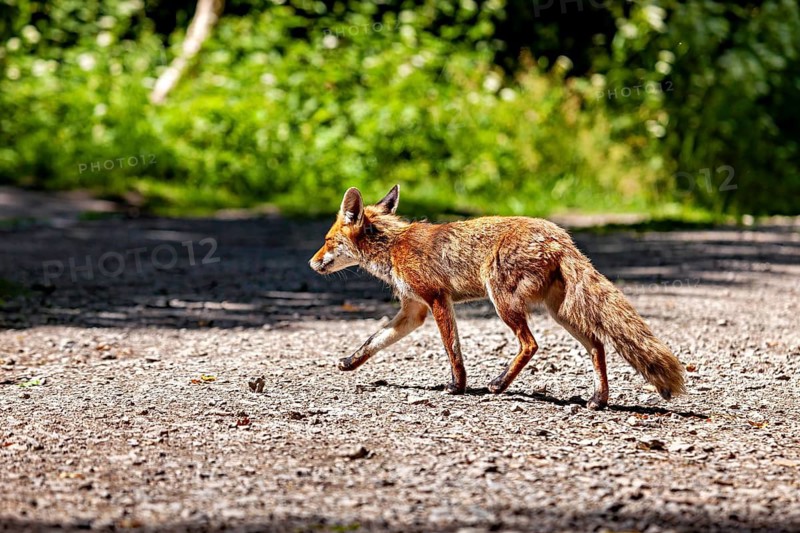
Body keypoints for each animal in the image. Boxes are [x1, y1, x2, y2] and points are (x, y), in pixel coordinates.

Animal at [308, 185, 685, 409]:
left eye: (326, 241)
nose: (311, 263)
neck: (392, 246)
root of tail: (561, 237)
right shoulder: (413, 311)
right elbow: (374, 340)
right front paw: (349, 362)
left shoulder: (437, 298)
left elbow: (453, 349)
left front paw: (457, 386)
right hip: (559, 312)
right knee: (597, 344)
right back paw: (598, 398)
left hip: (502, 300)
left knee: (531, 344)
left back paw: (500, 384)